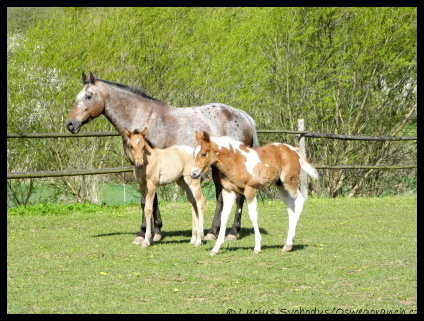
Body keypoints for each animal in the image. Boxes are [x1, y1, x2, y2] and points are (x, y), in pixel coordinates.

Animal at [63, 72, 258, 242]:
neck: (142, 119)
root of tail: (243, 116)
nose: (70, 124)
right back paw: (212, 232)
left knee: (239, 197)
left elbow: (146, 201)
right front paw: (156, 231)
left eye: (88, 96)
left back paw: (232, 233)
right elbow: (151, 200)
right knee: (221, 196)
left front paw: (143, 233)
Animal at [190, 131, 318, 254]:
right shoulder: (228, 191)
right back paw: (288, 245)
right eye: (194, 154)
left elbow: (253, 215)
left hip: (289, 181)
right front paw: (216, 248)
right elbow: (224, 216)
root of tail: (294, 149)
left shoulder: (250, 190)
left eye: (203, 154)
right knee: (291, 207)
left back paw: (289, 243)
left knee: (299, 201)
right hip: (280, 185)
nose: (193, 174)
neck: (235, 161)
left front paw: (257, 247)